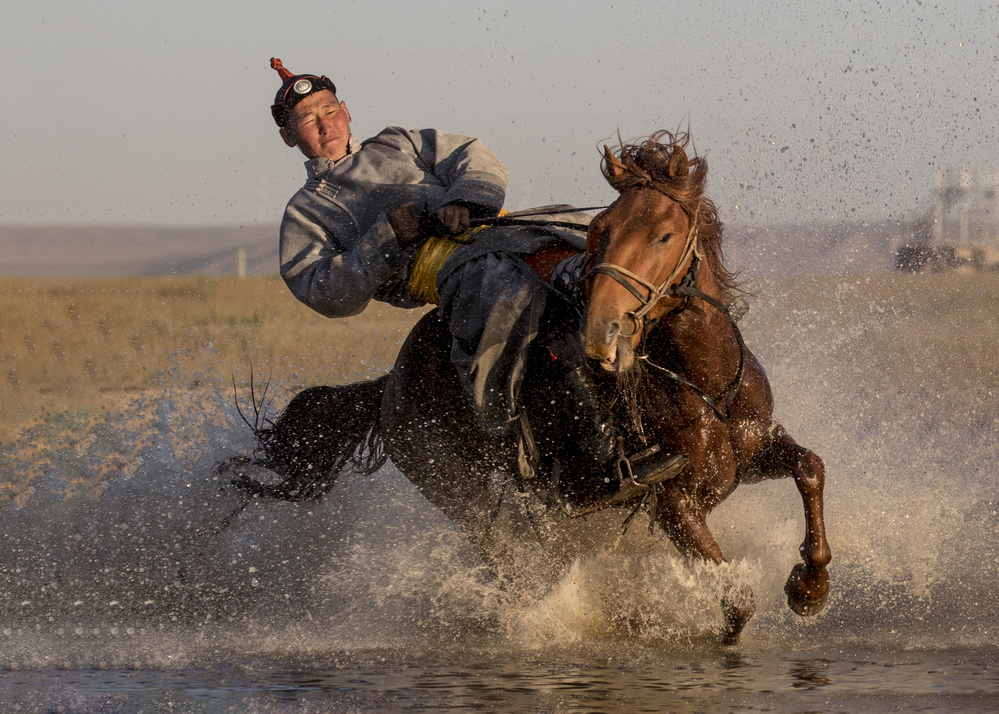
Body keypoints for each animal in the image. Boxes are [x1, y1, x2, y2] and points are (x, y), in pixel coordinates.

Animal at [230, 131, 832, 644]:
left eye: (663, 234)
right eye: (600, 229)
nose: (601, 332)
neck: (701, 384)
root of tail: (387, 390)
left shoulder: (751, 455)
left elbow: (810, 467)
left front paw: (809, 588)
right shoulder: (674, 504)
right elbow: (737, 603)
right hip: (460, 493)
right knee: (507, 563)